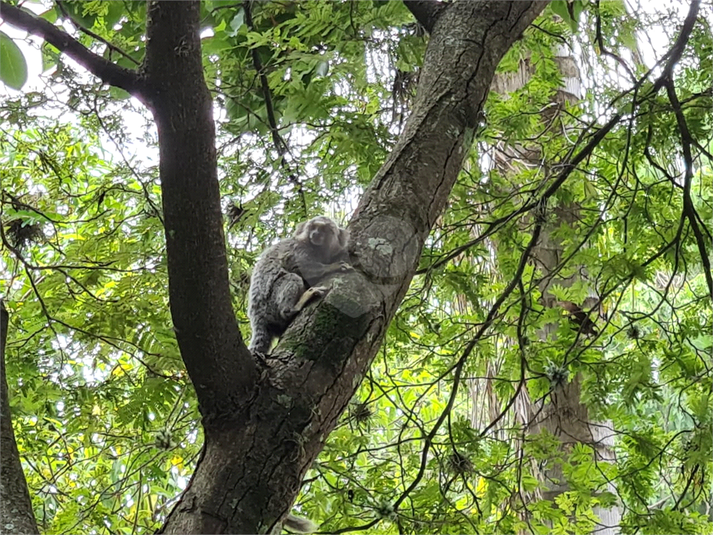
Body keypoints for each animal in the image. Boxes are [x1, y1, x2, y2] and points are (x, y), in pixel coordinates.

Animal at [249, 216, 352, 354]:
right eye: (314, 227)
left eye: (324, 229)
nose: (316, 234)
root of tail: (257, 316)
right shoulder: (299, 250)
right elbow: (300, 267)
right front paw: (333, 267)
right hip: (268, 306)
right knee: (292, 279)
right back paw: (295, 306)